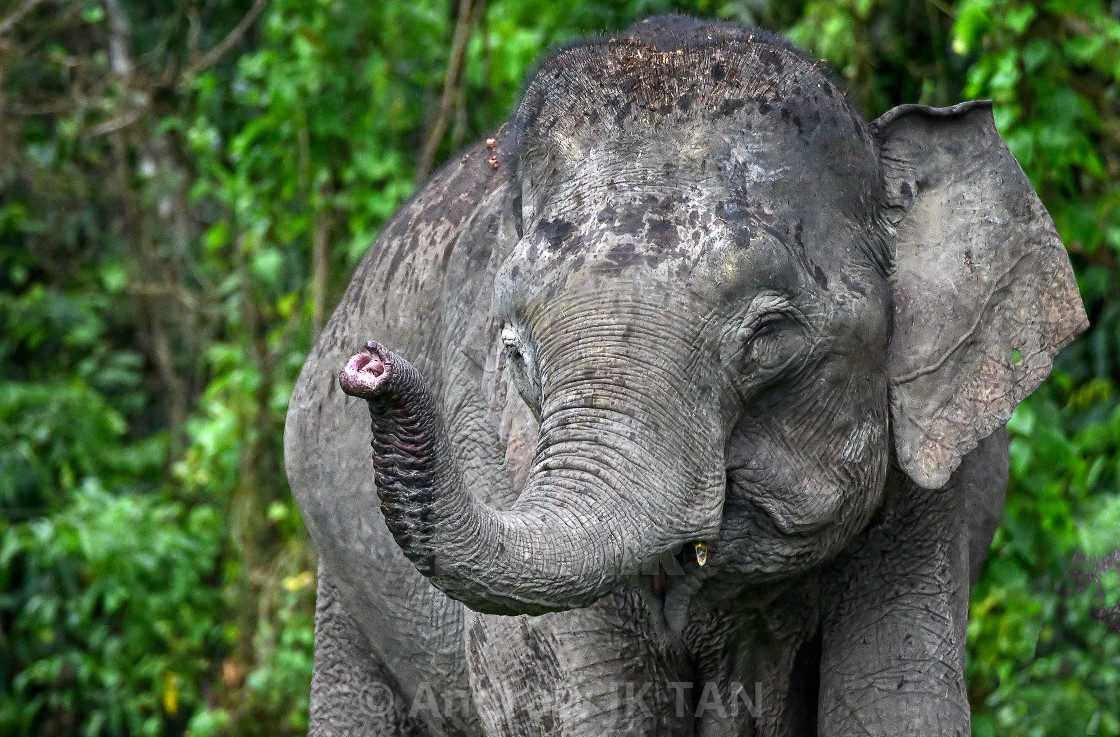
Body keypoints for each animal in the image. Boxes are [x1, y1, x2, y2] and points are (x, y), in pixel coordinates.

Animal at [284, 15, 1088, 734]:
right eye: (514, 353)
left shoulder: (928, 483)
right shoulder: (500, 456)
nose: (372, 365)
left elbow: (901, 703)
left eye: (769, 335)